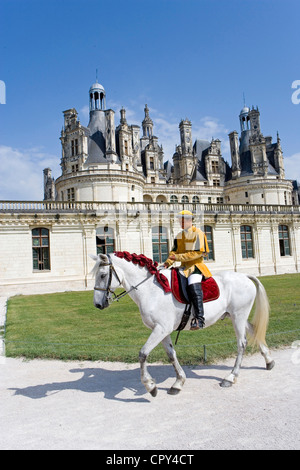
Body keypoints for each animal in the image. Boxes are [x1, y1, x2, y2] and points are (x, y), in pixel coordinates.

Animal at [91, 253, 274, 396]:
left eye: (102, 275)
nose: (97, 305)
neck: (151, 290)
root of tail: (244, 276)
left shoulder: (161, 328)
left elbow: (143, 354)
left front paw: (150, 386)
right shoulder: (162, 330)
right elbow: (171, 354)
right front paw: (178, 382)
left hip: (238, 316)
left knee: (241, 343)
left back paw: (231, 377)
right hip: (236, 316)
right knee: (254, 331)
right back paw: (269, 361)